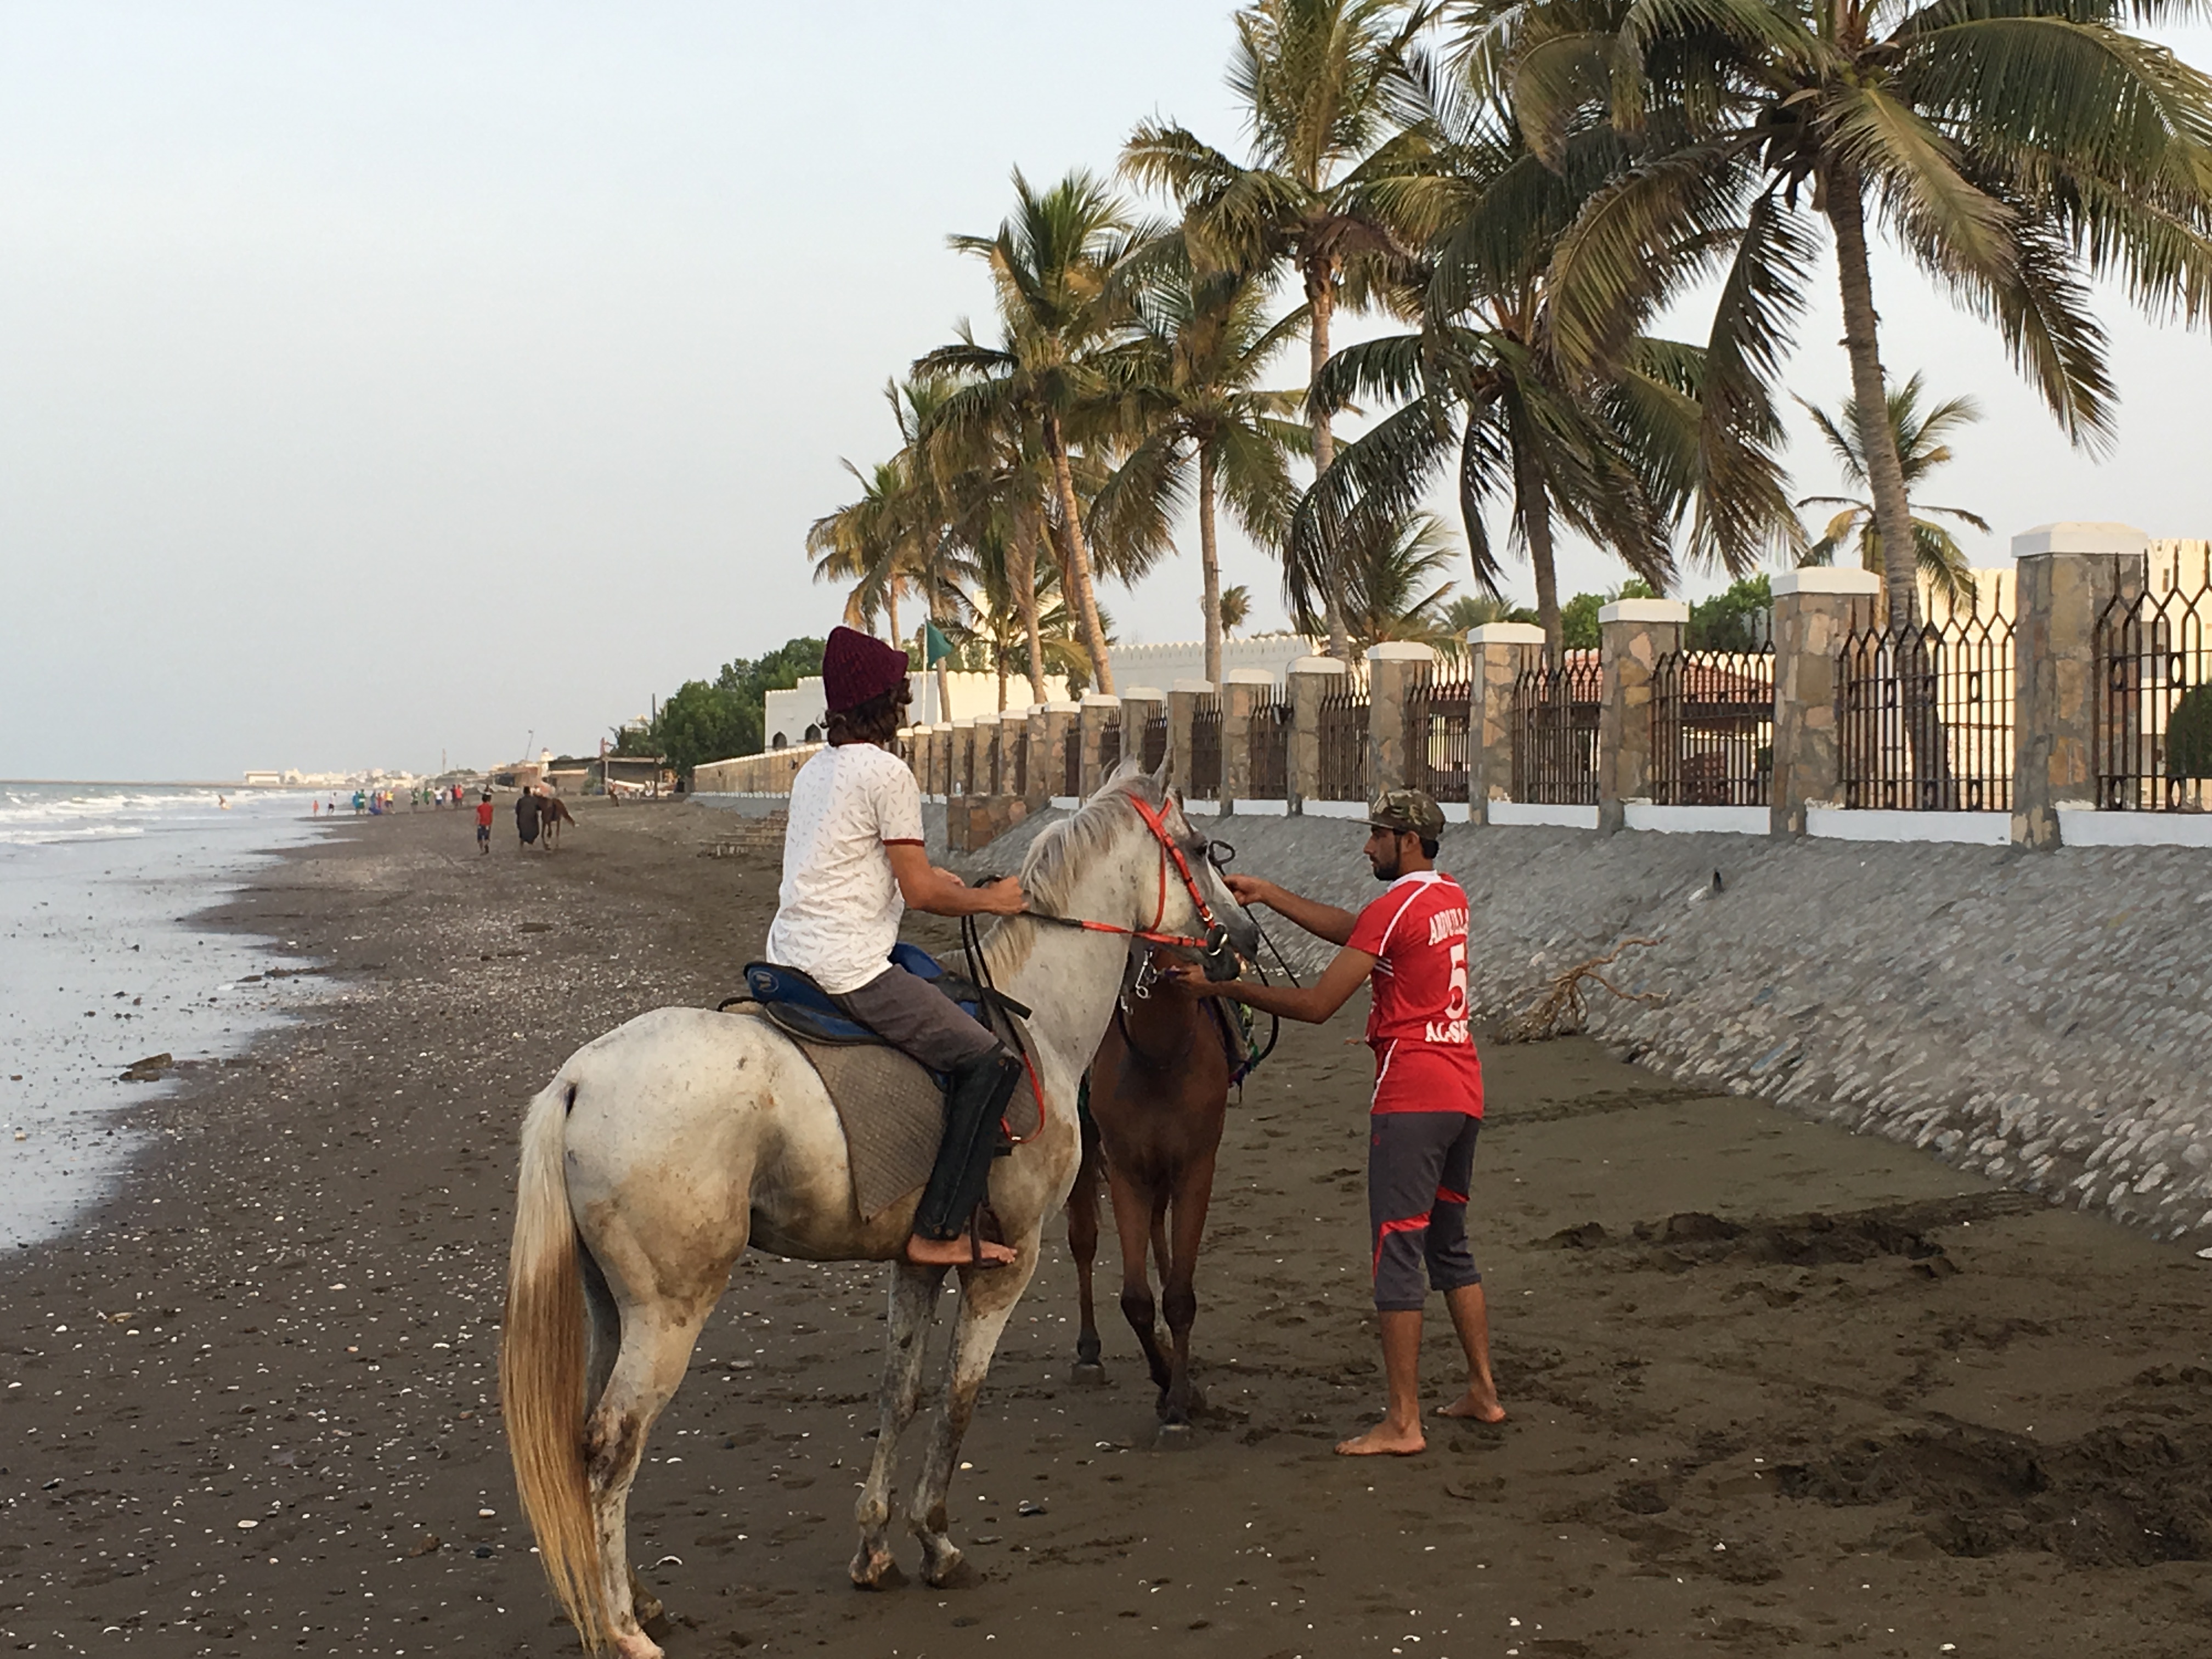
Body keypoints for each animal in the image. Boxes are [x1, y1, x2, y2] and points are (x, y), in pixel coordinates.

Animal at [1066, 946, 1248, 1442]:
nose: (1224, 962)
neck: (1159, 1053)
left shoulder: (1194, 1167)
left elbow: (1180, 1297)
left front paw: (1180, 1404)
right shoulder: (1127, 1170)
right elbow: (1135, 1300)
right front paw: (1170, 1388)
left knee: (1156, 1228)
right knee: (1083, 1240)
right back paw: (1089, 1352)